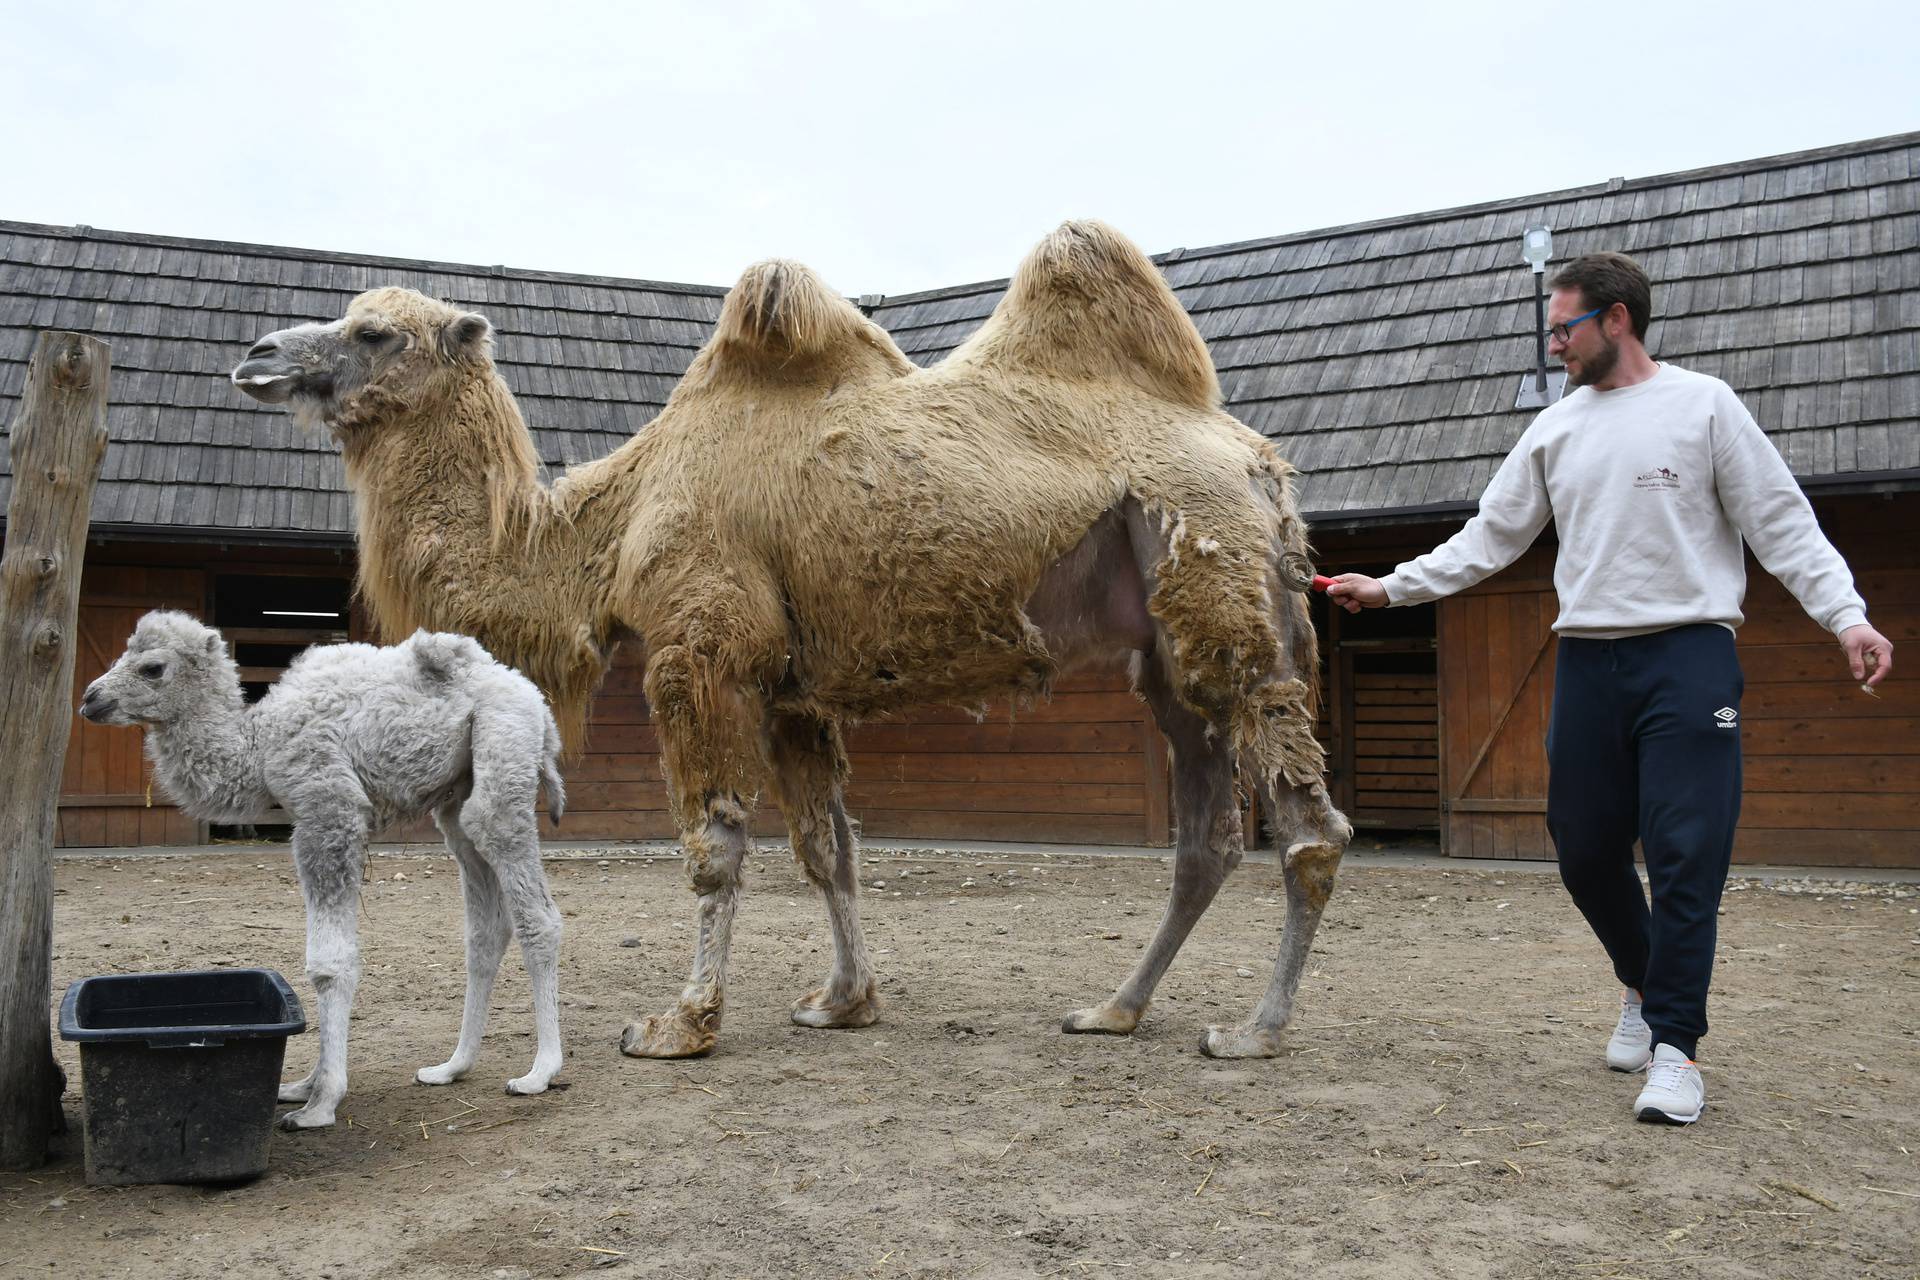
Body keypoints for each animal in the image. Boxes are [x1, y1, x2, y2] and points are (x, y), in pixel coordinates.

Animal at [82, 614, 560, 1128]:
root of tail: (534, 698)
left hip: (503, 749)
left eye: (152, 668)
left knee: (536, 912)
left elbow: (329, 965)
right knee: (484, 928)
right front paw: (302, 1086)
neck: (259, 742)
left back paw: (541, 1071)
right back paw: (451, 1067)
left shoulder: (329, 810)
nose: (90, 698)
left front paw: (321, 1103)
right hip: (458, 794)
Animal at [236, 220, 1351, 1059]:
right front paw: (842, 1000)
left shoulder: (700, 649)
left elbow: (714, 846)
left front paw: (680, 1023)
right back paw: (1114, 1008)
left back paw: (1253, 1029)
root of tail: (1261, 467)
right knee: (1206, 833)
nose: (256, 355)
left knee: (1307, 824)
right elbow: (828, 849)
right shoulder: (792, 690)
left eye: (375, 331)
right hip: (1171, 645)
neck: (611, 522)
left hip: (1222, 591)